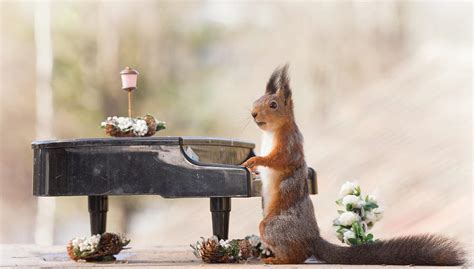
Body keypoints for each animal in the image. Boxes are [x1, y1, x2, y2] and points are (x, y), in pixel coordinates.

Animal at [243, 64, 464, 264]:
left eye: (273, 105)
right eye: (255, 101)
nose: (253, 113)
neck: (272, 132)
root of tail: (313, 238)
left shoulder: (290, 146)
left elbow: (278, 160)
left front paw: (254, 161)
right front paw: (253, 168)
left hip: (272, 227)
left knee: (298, 255)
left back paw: (278, 260)